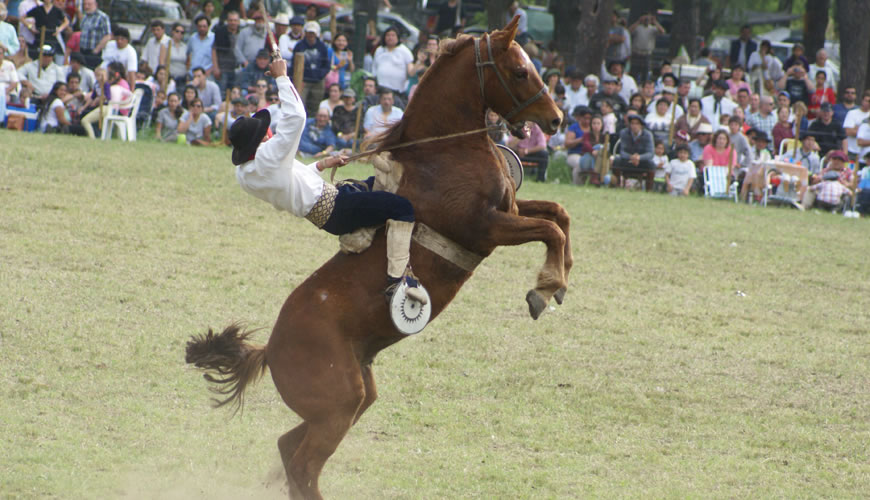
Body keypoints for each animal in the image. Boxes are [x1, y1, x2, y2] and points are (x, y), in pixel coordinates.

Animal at [186, 17, 572, 498]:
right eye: (520, 71)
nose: (555, 119)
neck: (441, 152)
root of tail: (268, 350)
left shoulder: (512, 211)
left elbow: (558, 214)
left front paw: (562, 279)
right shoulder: (486, 228)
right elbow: (551, 229)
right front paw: (545, 288)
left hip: (354, 399)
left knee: (289, 448)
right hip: (339, 406)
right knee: (304, 464)